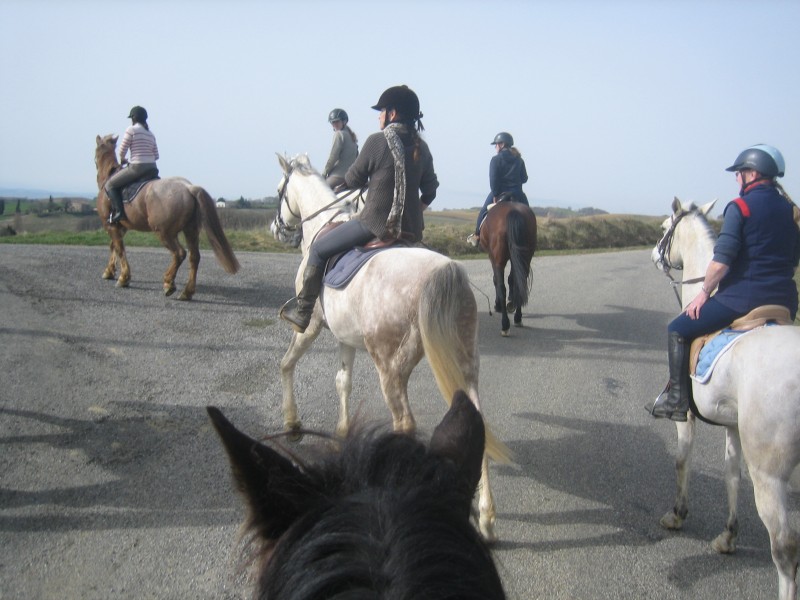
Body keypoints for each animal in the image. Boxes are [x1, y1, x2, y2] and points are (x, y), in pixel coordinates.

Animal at [94, 134, 240, 299]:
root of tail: (188, 187)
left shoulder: (110, 225)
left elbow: (119, 248)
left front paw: (123, 278)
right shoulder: (120, 227)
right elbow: (113, 246)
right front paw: (109, 271)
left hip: (164, 232)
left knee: (179, 254)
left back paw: (169, 283)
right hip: (190, 230)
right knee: (194, 257)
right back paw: (187, 292)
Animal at [270, 153, 510, 541]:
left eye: (280, 190)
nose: (276, 229)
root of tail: (444, 272)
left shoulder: (312, 328)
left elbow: (287, 363)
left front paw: (292, 423)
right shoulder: (345, 337)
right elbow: (343, 382)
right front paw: (342, 435)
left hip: (390, 367)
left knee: (403, 422)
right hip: (465, 364)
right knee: (477, 418)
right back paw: (486, 518)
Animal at [479, 200, 537, 335]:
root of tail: (513, 211)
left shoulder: (492, 257)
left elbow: (496, 281)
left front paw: (498, 304)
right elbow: (512, 280)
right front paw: (511, 303)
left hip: (499, 260)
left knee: (501, 287)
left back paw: (505, 325)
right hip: (525, 257)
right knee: (520, 283)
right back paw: (518, 318)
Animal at [652, 197, 800, 599]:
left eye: (664, 229)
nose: (654, 254)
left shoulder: (686, 418)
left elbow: (682, 461)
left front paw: (677, 515)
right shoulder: (733, 427)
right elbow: (732, 476)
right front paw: (728, 536)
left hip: (771, 474)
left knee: (785, 547)